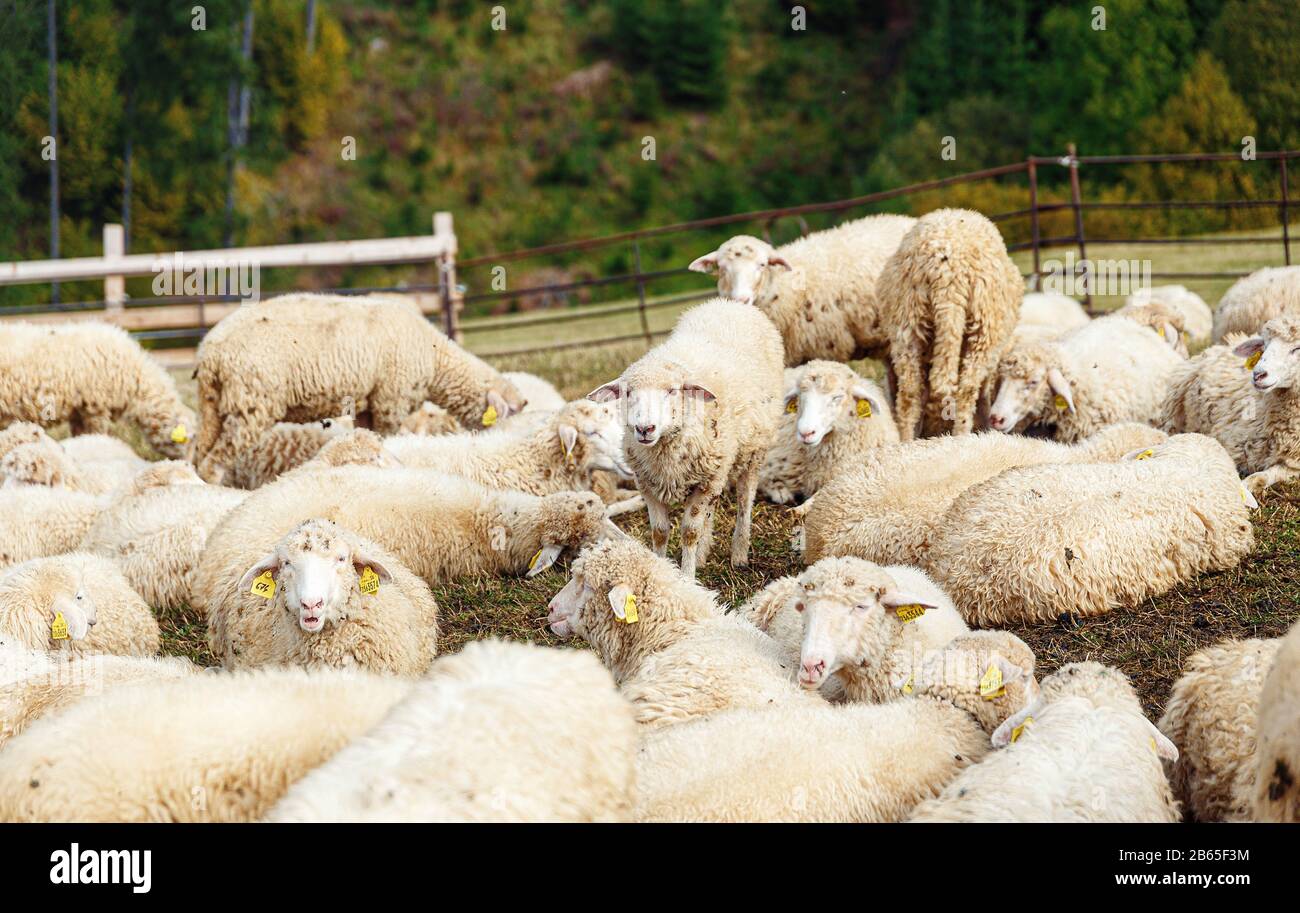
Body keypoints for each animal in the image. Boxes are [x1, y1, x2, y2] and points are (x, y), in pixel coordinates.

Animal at [0, 321, 195, 458]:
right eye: (187, 441)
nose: (191, 468)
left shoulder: (78, 411)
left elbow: (80, 437)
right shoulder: (96, 407)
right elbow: (97, 435)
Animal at [588, 298, 783, 577]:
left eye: (672, 391)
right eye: (628, 392)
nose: (644, 428)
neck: (665, 451)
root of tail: (729, 303)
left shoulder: (705, 482)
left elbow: (690, 532)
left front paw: (688, 576)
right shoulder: (648, 484)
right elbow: (659, 532)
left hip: (753, 451)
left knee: (745, 500)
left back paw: (739, 553)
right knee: (713, 507)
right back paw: (703, 554)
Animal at [878, 208, 1022, 439]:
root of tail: (946, 270)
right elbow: (983, 391)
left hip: (908, 324)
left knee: (910, 393)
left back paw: (908, 440)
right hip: (983, 330)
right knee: (966, 389)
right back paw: (961, 436)